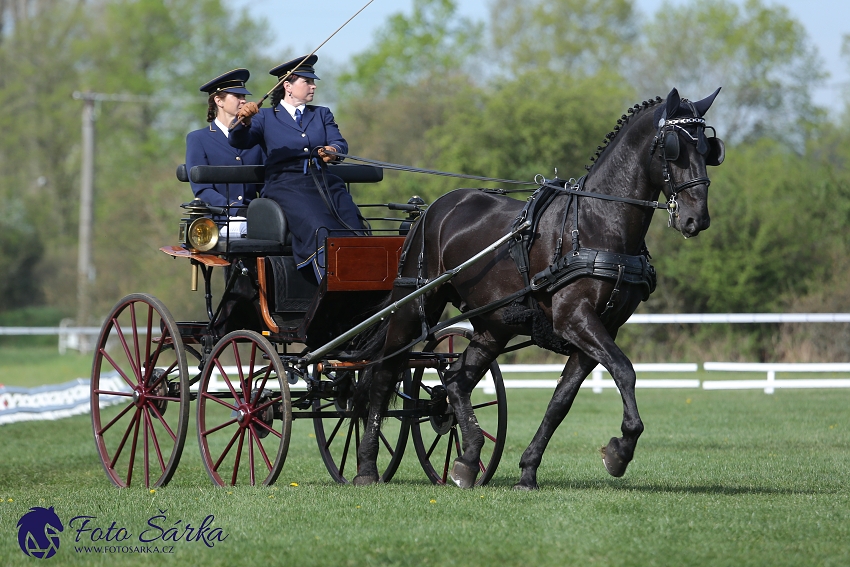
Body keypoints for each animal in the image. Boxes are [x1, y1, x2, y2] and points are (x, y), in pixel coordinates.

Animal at [348, 86, 720, 490]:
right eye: (674, 147)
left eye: (709, 149)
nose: (697, 219)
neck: (597, 222)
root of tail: (430, 209)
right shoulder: (575, 319)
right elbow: (625, 370)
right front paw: (621, 449)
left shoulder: (599, 327)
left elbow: (561, 400)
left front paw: (528, 470)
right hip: (414, 304)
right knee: (385, 374)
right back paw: (367, 466)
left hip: (494, 325)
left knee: (456, 380)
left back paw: (468, 459)